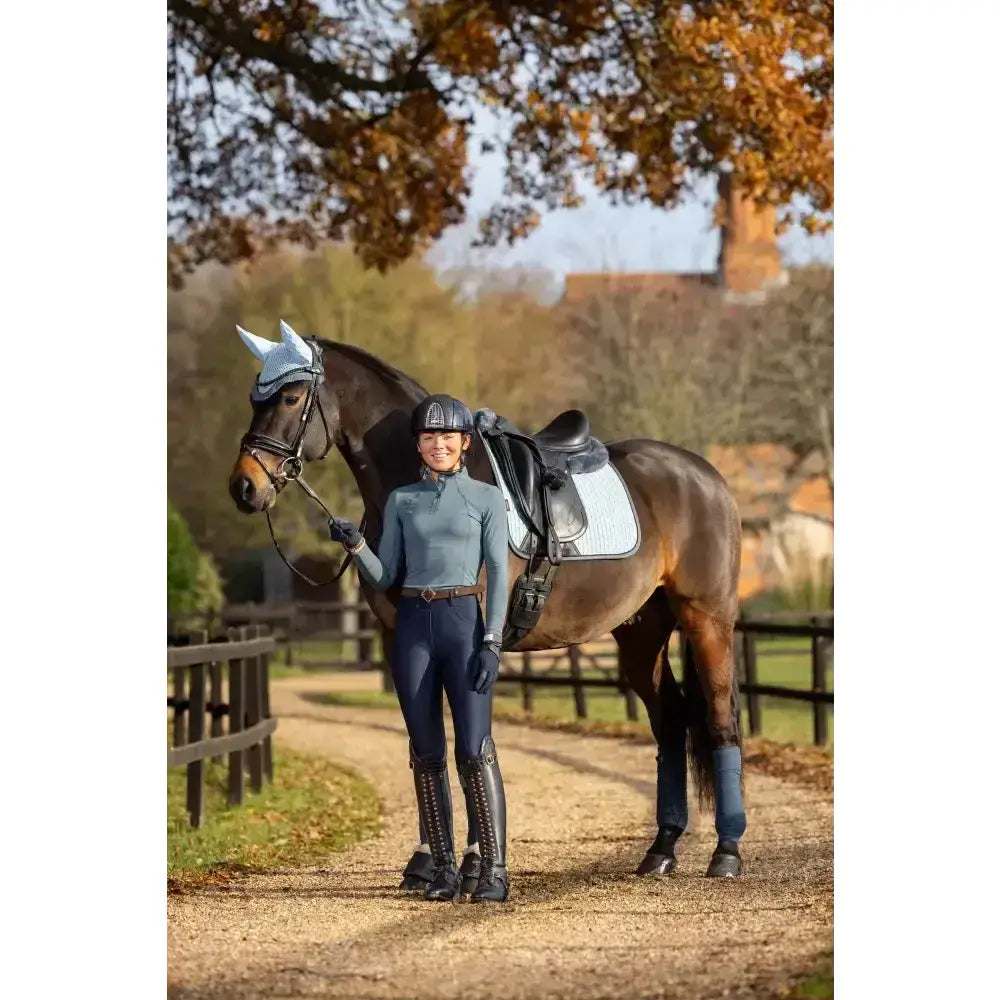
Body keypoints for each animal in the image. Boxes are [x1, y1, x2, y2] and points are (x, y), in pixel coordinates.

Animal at [229, 329, 746, 879]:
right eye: (254, 399)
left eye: (289, 398)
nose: (244, 486)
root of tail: (705, 475)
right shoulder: (401, 639)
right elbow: (424, 741)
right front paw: (428, 861)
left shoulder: (473, 644)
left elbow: (469, 742)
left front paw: (477, 860)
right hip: (641, 632)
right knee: (670, 721)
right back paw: (661, 849)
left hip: (707, 619)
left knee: (720, 720)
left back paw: (726, 853)